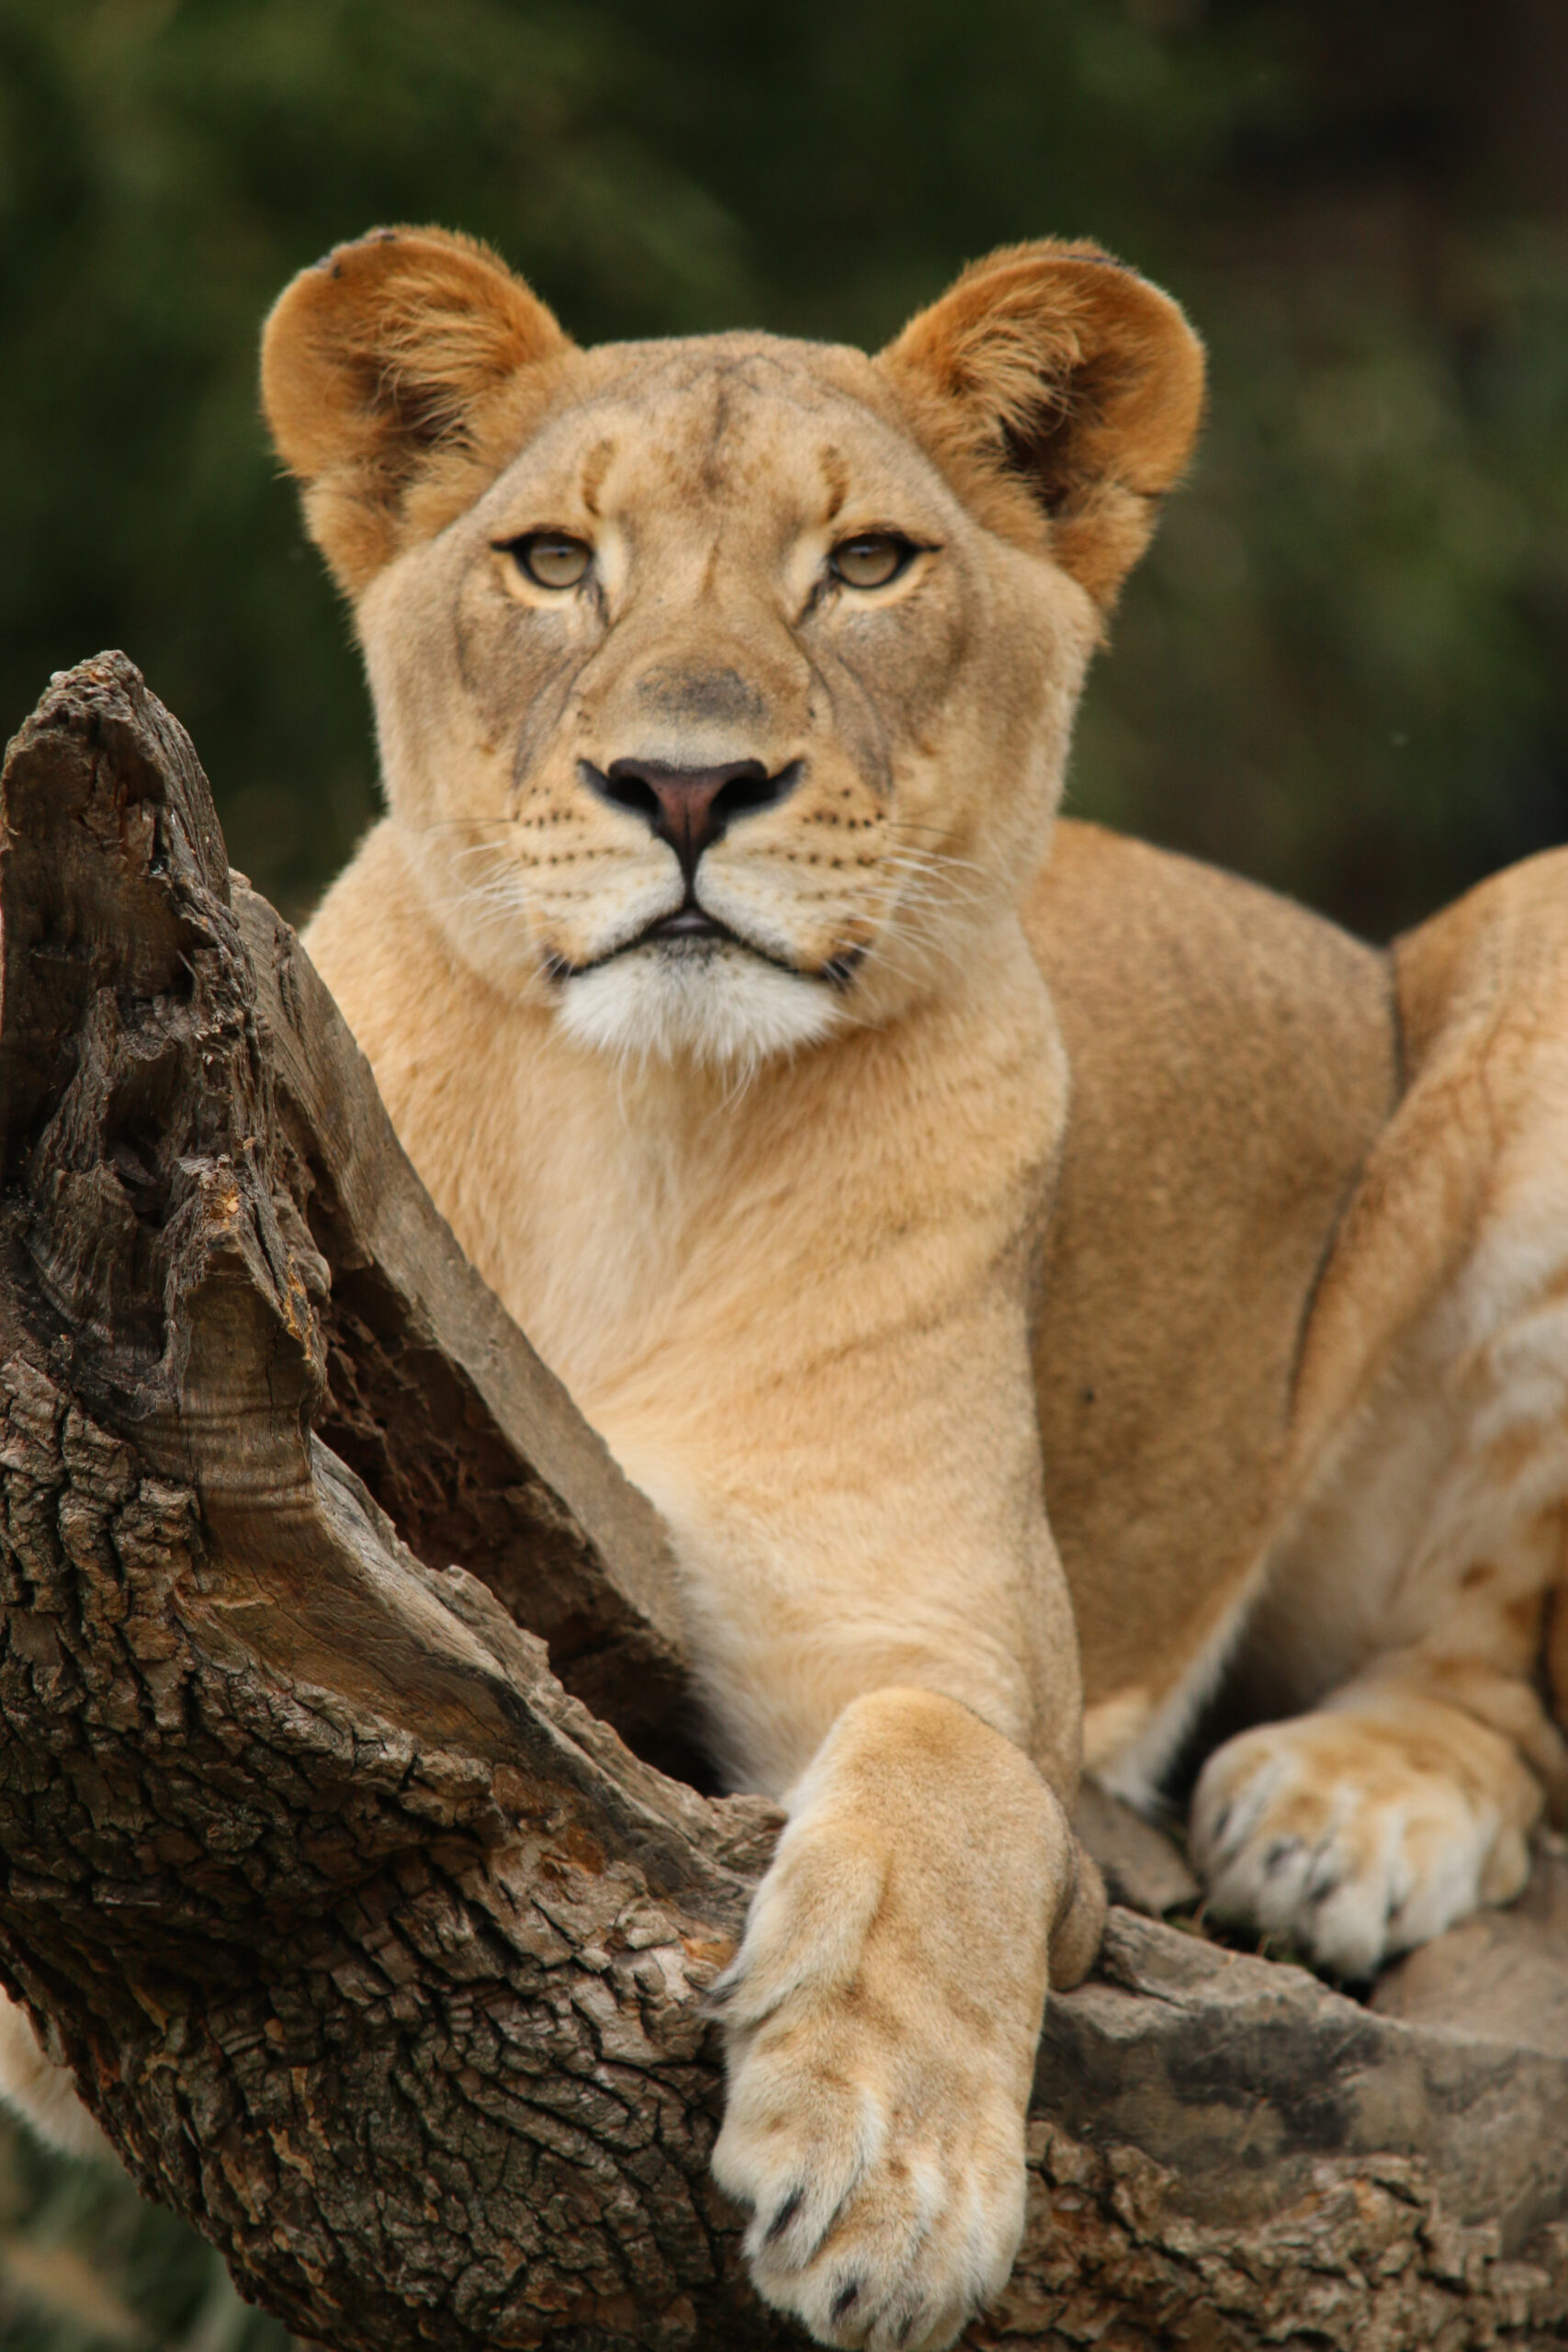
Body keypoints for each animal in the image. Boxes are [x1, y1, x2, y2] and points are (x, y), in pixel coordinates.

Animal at [7, 225, 1568, 2352]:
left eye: (869, 563)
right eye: (553, 560)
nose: (684, 784)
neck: (639, 1137)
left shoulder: (945, 1647)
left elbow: (952, 1775)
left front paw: (887, 2178)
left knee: (1494, 1686)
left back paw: (1342, 1807)